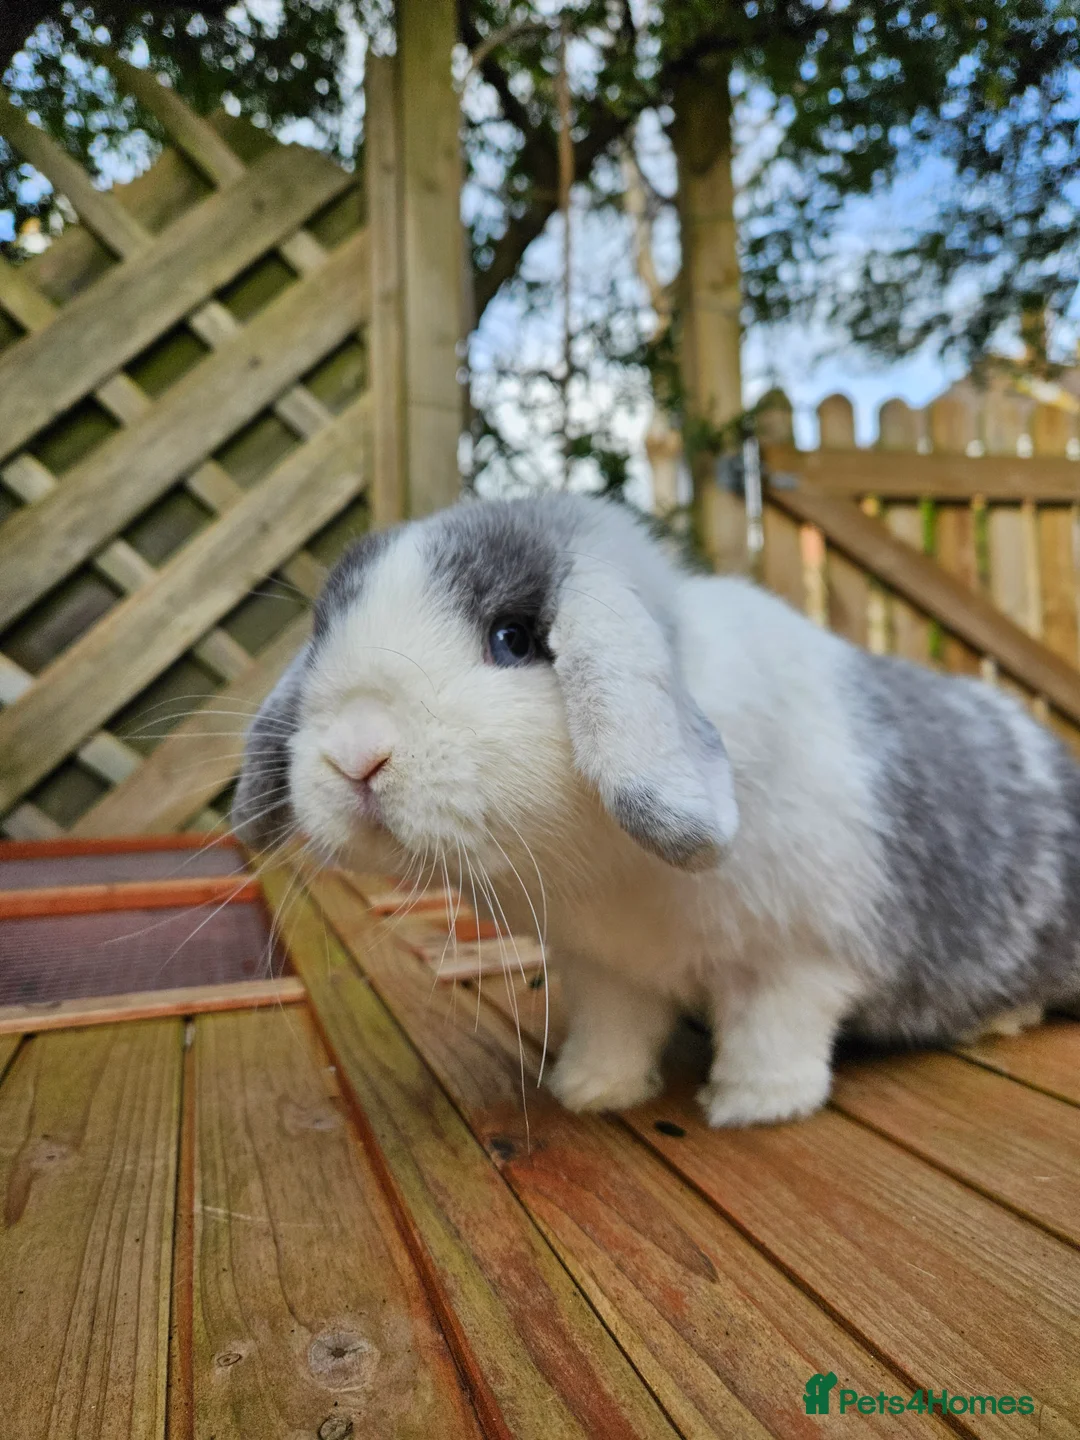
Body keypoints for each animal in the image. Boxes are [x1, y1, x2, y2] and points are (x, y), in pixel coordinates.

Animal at [233, 492, 1080, 1127]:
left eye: (513, 638)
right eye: (324, 633)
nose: (356, 754)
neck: (608, 862)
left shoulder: (795, 959)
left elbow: (774, 1030)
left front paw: (753, 1105)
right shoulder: (610, 971)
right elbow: (617, 1029)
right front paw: (589, 1092)